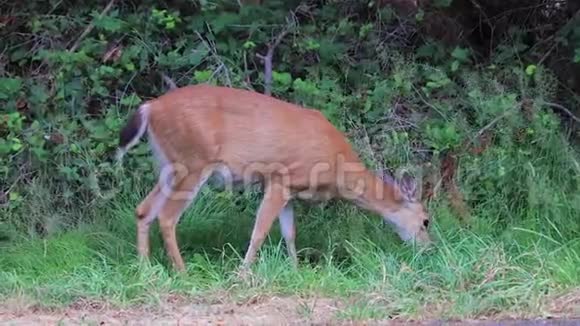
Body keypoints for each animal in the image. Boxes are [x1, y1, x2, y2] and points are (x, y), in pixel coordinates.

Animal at [115, 84, 430, 272]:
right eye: (426, 220)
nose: (429, 247)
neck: (337, 168)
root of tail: (150, 108)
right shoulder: (280, 178)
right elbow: (260, 230)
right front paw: (243, 274)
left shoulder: (286, 187)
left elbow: (289, 232)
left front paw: (295, 269)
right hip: (193, 162)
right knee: (167, 216)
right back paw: (181, 271)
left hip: (169, 165)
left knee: (144, 209)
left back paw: (144, 268)